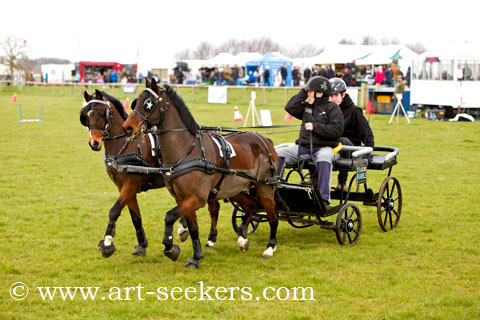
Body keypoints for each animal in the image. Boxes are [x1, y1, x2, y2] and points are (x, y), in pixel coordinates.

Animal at [80, 89, 189, 258]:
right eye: (85, 116)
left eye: (102, 114)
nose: (94, 143)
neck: (126, 146)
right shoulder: (123, 187)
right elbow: (135, 217)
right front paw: (141, 245)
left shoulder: (130, 185)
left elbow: (114, 211)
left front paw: (107, 244)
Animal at [122, 79, 280, 268]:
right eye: (135, 102)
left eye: (148, 103)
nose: (127, 128)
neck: (188, 151)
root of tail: (264, 140)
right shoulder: (182, 198)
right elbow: (193, 228)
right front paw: (196, 257)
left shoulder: (197, 198)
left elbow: (169, 216)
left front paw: (170, 247)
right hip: (235, 189)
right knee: (251, 206)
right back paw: (243, 239)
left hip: (265, 187)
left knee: (272, 216)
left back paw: (270, 248)